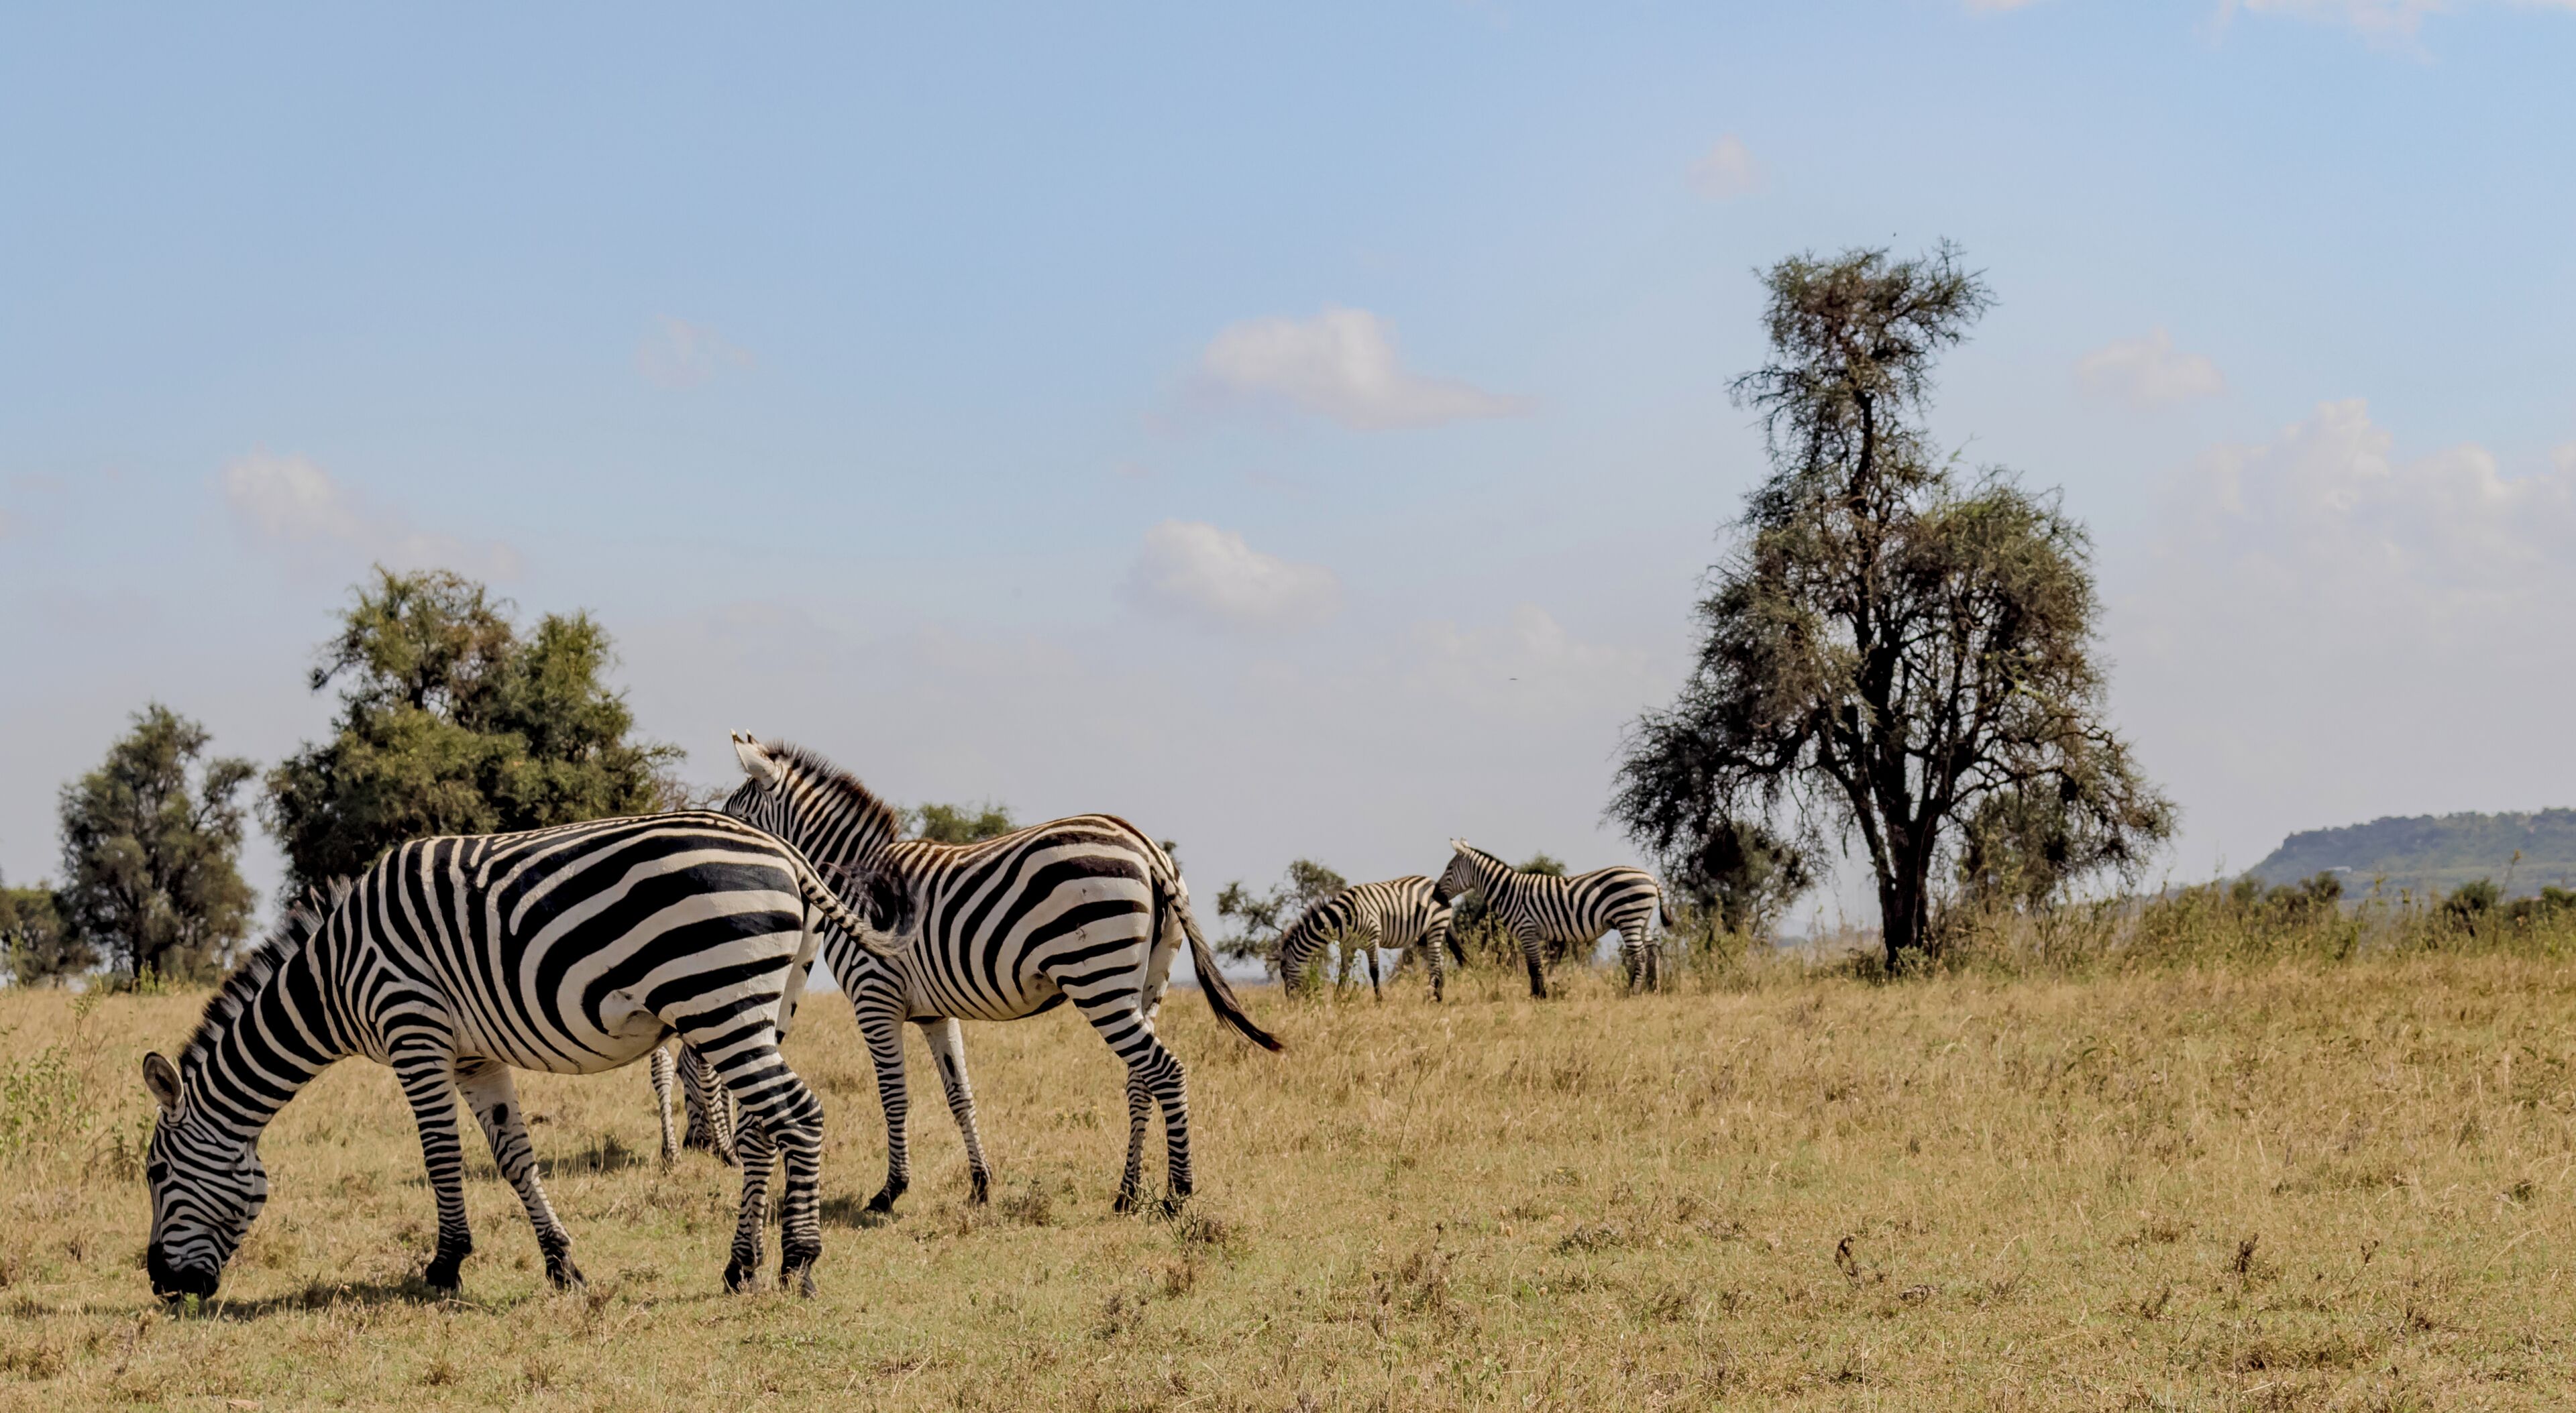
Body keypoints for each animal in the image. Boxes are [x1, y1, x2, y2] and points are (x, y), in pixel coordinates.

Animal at [137, 811, 899, 1302]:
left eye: (154, 1174)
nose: (162, 1285)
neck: (334, 973)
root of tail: (783, 852)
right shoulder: (474, 1056)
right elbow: (514, 1158)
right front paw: (561, 1265)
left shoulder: (414, 1029)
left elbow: (441, 1156)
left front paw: (445, 1268)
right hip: (764, 1007)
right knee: (766, 1125)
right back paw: (742, 1266)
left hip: (719, 1001)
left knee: (801, 1114)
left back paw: (799, 1264)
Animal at [723, 733, 1282, 1216]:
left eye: (734, 817)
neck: (854, 883)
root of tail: (1144, 846)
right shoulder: (933, 1012)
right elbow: (960, 1095)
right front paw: (980, 1184)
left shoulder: (875, 997)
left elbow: (893, 1097)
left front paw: (890, 1191)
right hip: (1150, 984)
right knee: (1141, 1079)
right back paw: (1126, 1193)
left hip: (1099, 981)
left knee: (1165, 1069)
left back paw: (1176, 1194)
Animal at [1275, 876, 1454, 1002]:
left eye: (1284, 974)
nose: (1291, 1004)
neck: (1342, 917)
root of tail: (1432, 881)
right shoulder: (1347, 946)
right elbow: (1343, 973)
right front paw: (1338, 999)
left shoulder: (1372, 939)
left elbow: (1374, 972)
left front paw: (1379, 1000)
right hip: (1423, 938)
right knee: (1438, 961)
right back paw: (1439, 994)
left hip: (1436, 926)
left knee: (1436, 962)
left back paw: (1434, 996)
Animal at [1435, 840, 1671, 998]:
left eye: (1449, 868)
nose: (1436, 895)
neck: (1508, 891)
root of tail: (1651, 878)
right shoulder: (1531, 934)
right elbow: (1533, 965)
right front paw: (1536, 994)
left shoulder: (1527, 930)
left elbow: (1534, 966)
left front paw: (1539, 995)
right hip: (1642, 920)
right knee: (1654, 953)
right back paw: (1654, 988)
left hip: (1629, 917)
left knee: (1640, 955)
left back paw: (1633, 992)